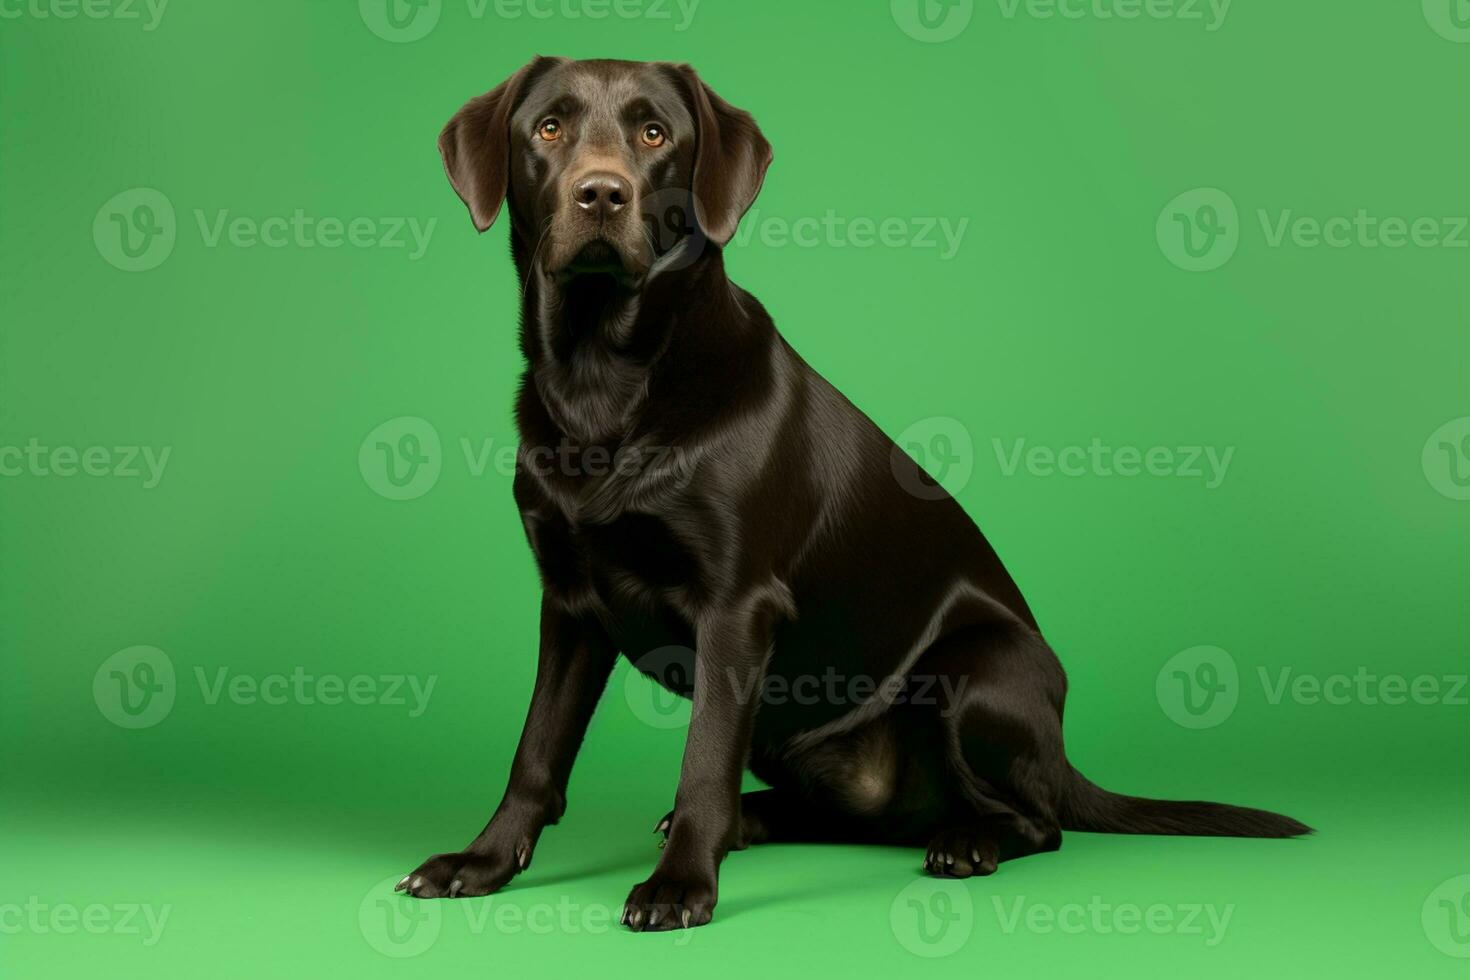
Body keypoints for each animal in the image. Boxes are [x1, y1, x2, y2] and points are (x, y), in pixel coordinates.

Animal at [393, 57, 1311, 934]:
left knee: (1035, 821)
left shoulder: (737, 608)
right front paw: (482, 863)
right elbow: (537, 753)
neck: (604, 380)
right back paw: (759, 822)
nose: (600, 193)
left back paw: (965, 842)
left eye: (655, 134)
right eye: (548, 128)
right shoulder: (570, 603)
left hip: (969, 669)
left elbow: (701, 760)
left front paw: (681, 886)